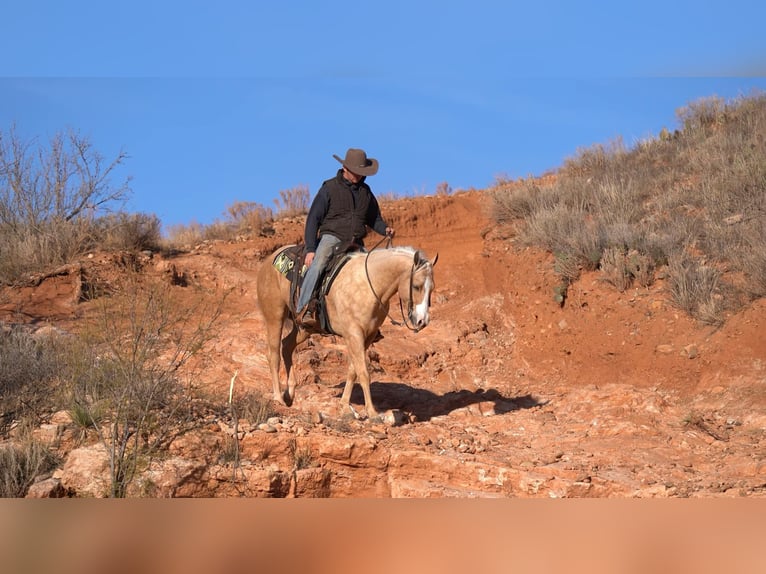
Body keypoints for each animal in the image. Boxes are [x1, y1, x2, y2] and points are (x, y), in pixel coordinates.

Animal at [256, 244, 437, 420]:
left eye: (432, 289)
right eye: (416, 286)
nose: (422, 321)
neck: (369, 286)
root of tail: (270, 259)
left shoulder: (367, 337)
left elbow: (353, 371)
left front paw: (345, 405)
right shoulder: (354, 334)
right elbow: (364, 373)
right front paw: (372, 412)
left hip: (304, 328)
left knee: (286, 346)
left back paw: (290, 393)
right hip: (275, 317)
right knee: (274, 354)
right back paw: (278, 397)